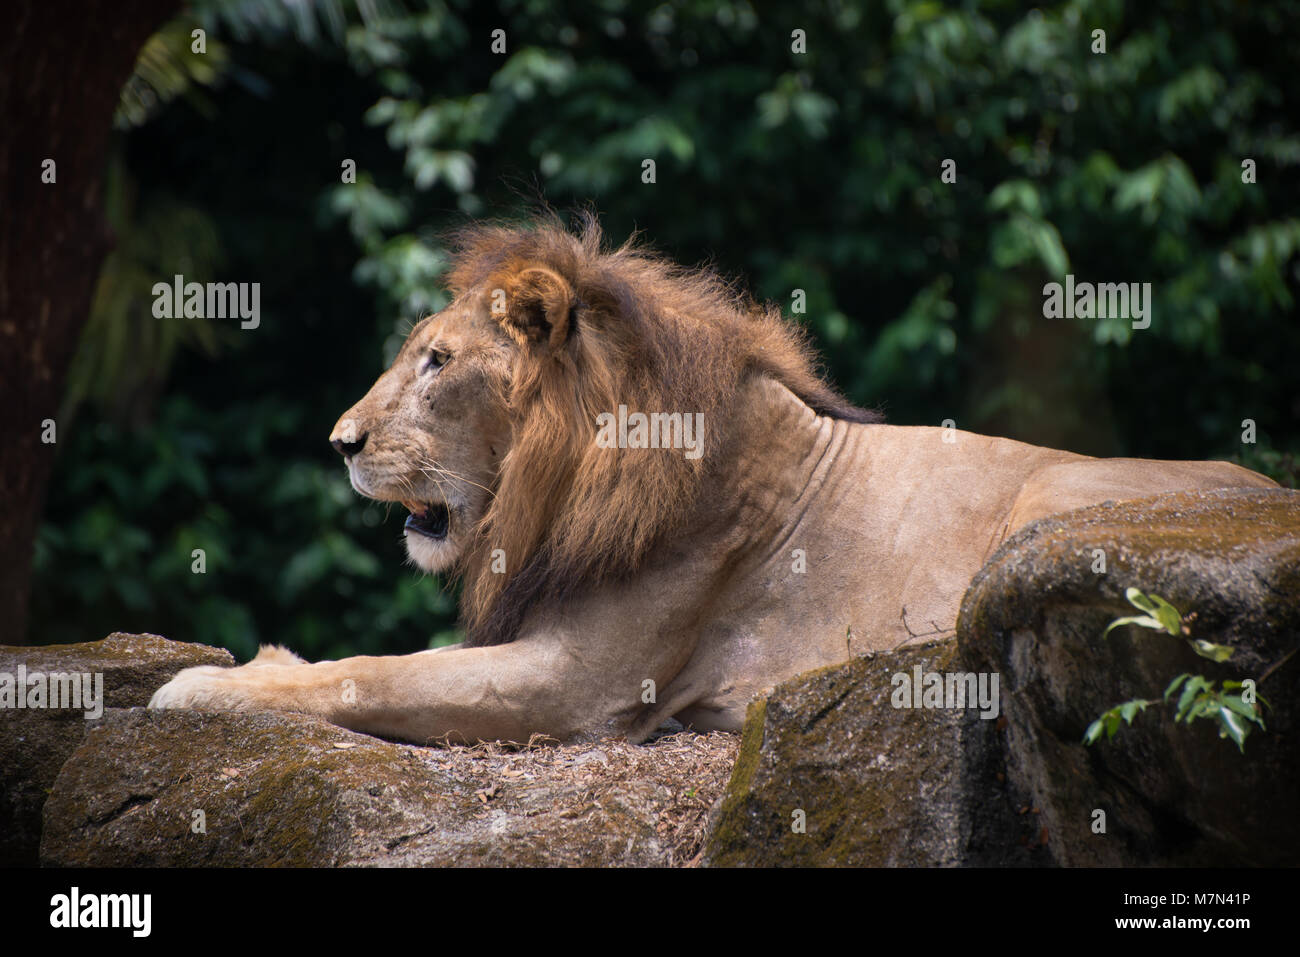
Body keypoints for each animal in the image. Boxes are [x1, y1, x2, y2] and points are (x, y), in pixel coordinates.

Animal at [149, 214, 1268, 738]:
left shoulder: (578, 684)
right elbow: (379, 660)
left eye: (436, 361)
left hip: (1047, 504)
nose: (339, 441)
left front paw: (204, 684)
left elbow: (377, 672)